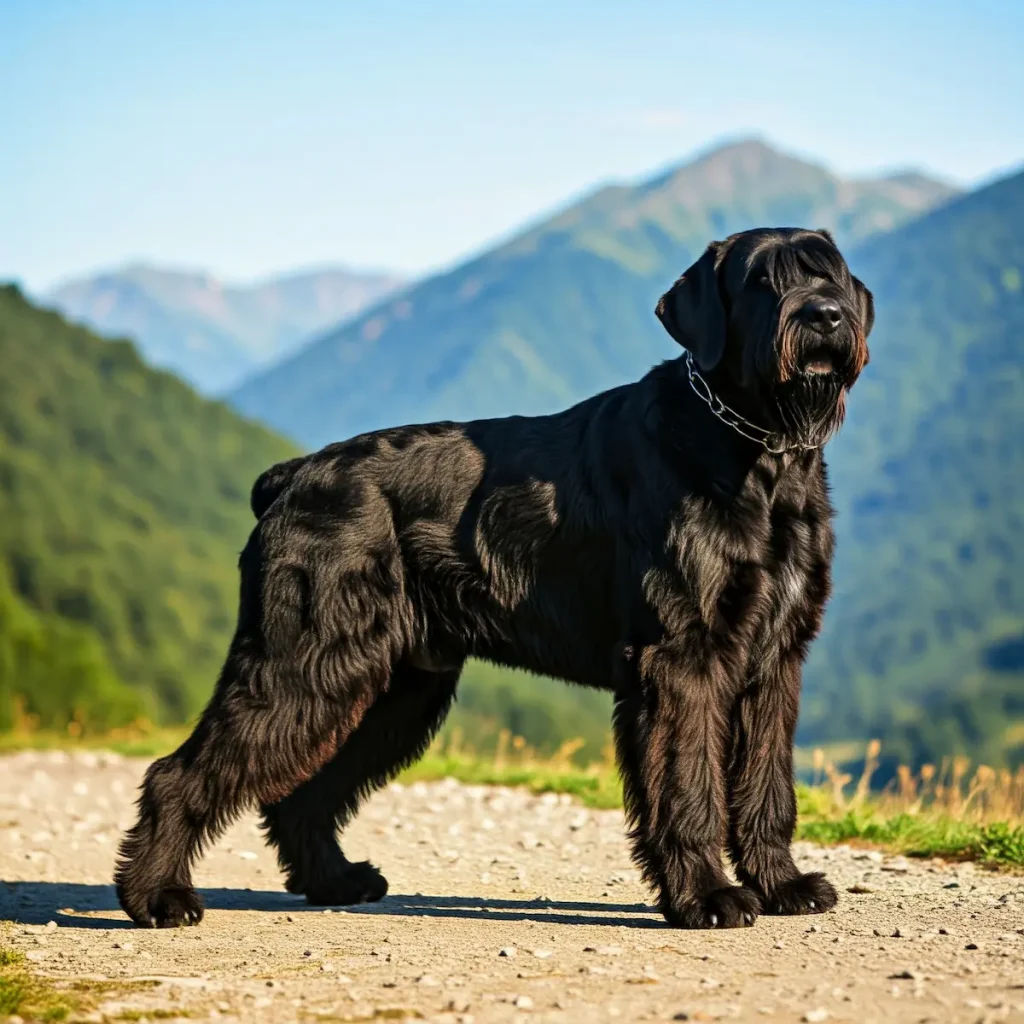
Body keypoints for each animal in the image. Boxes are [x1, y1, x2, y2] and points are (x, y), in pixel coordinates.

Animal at [117, 228, 872, 933]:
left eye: (829, 272)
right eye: (760, 280)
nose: (826, 315)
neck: (756, 452)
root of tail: (291, 477)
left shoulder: (773, 661)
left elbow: (766, 785)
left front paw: (781, 884)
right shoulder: (684, 659)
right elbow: (689, 784)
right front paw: (708, 897)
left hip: (391, 688)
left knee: (301, 793)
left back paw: (335, 881)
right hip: (303, 664)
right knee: (178, 774)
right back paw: (157, 896)